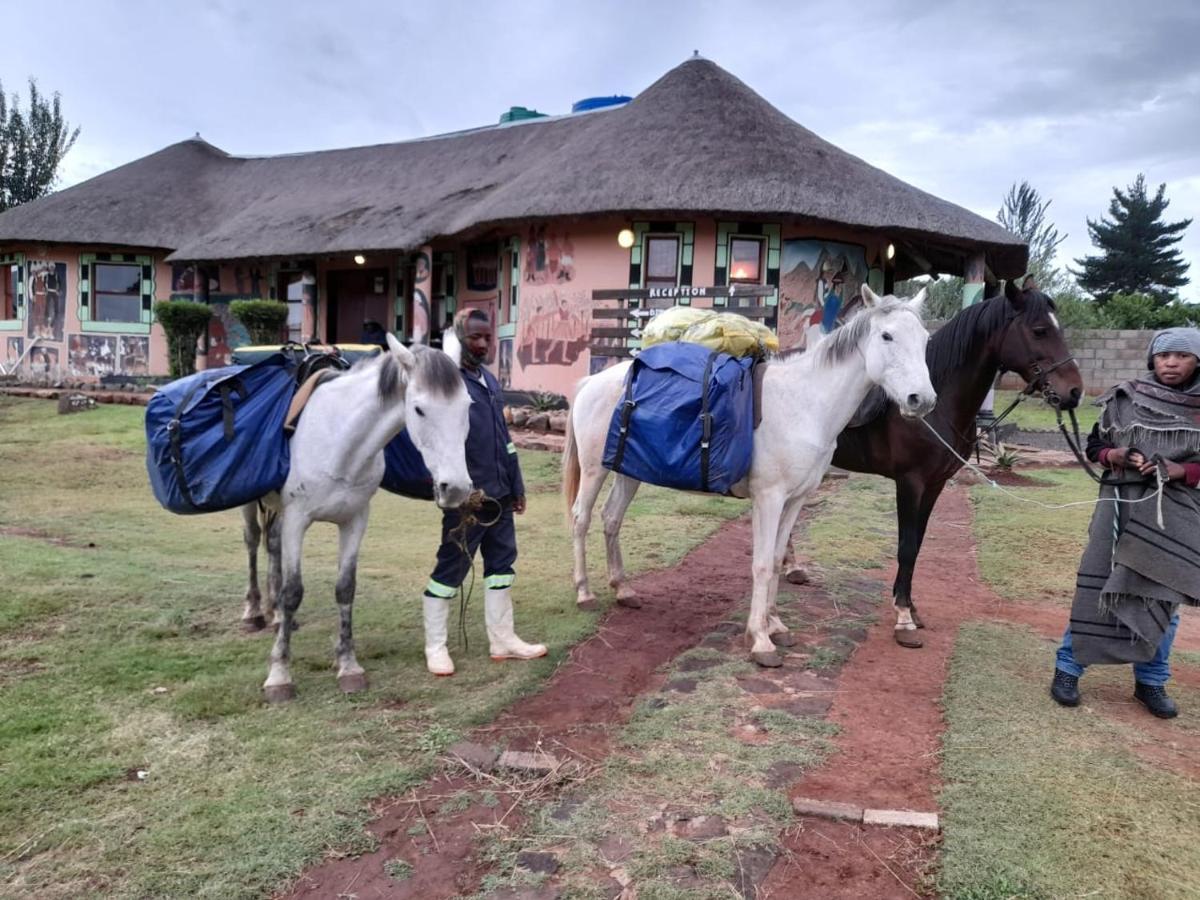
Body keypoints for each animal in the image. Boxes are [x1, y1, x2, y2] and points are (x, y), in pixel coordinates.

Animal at [259, 336, 472, 700]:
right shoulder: (297, 521)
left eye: (467, 406)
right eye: (419, 409)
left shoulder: (355, 519)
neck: (339, 442)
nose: (455, 487)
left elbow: (346, 588)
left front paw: (348, 666)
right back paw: (254, 613)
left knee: (271, 545)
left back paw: (274, 616)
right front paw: (279, 674)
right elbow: (293, 592)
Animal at [561, 289, 936, 672]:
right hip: (594, 470)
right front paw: (760, 640)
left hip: (628, 471)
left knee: (611, 518)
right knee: (581, 519)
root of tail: (593, 382)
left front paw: (776, 626)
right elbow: (761, 564)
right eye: (887, 336)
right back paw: (584, 592)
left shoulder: (795, 500)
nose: (921, 400)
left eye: (924, 339)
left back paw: (623, 589)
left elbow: (776, 560)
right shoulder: (769, 499)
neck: (805, 405)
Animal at [825, 282, 1089, 648]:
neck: (936, 407)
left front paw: (910, 606)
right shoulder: (910, 482)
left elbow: (918, 544)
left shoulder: (934, 484)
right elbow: (906, 546)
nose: (1074, 392)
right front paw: (904, 618)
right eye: (1039, 330)